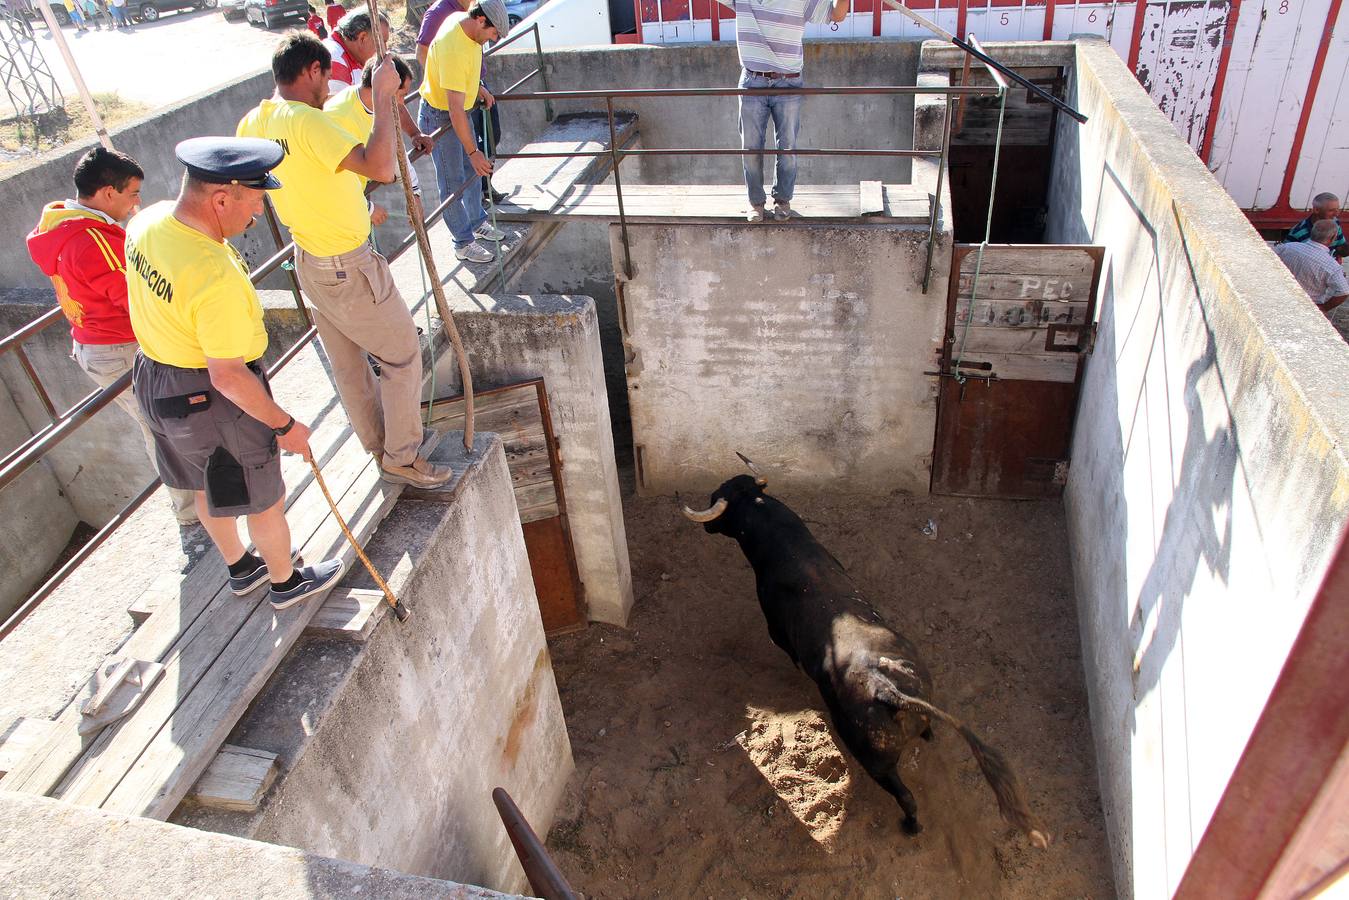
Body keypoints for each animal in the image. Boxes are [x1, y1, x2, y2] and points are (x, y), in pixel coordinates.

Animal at [685, 469, 1052, 847]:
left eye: (717, 498)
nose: (707, 527)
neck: (782, 540)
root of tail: (890, 692)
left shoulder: (775, 626)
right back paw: (928, 736)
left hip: (874, 761)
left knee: (905, 796)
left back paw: (911, 825)